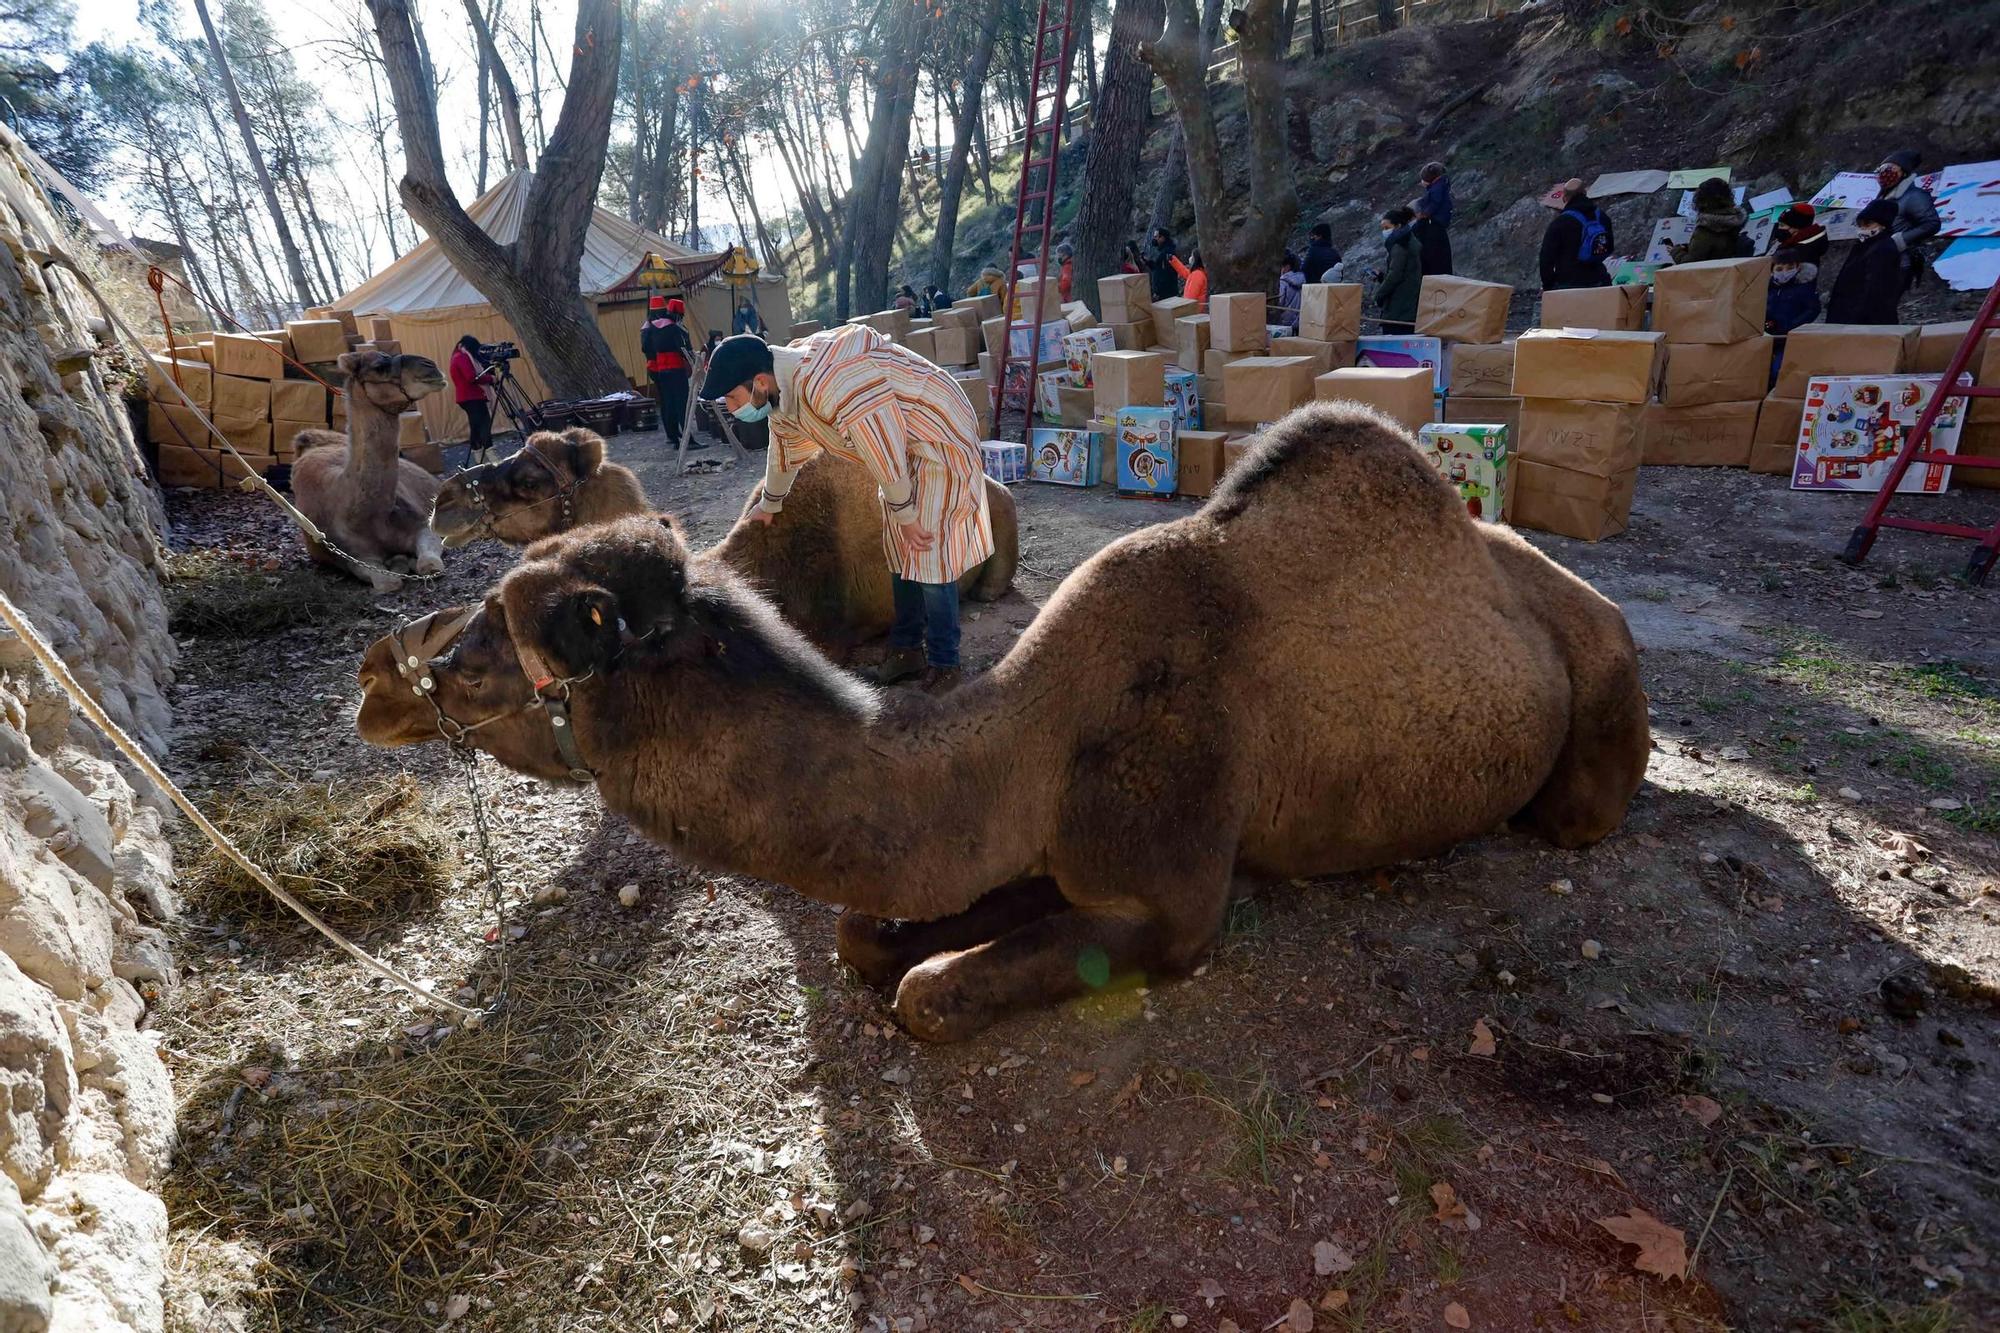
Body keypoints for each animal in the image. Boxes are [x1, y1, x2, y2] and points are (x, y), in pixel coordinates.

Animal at [290, 348, 450, 592]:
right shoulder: (351, 557)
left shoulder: (423, 526)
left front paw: (406, 561)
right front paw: (399, 564)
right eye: (378, 367)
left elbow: (429, 564)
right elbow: (388, 582)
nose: (429, 365)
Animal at [352, 402, 1648, 1040]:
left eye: (509, 631)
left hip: (1597, 690)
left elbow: (928, 990)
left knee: (1578, 808)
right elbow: (865, 933)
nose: (388, 677)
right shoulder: (1033, 844)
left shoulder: (1170, 900)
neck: (1026, 738)